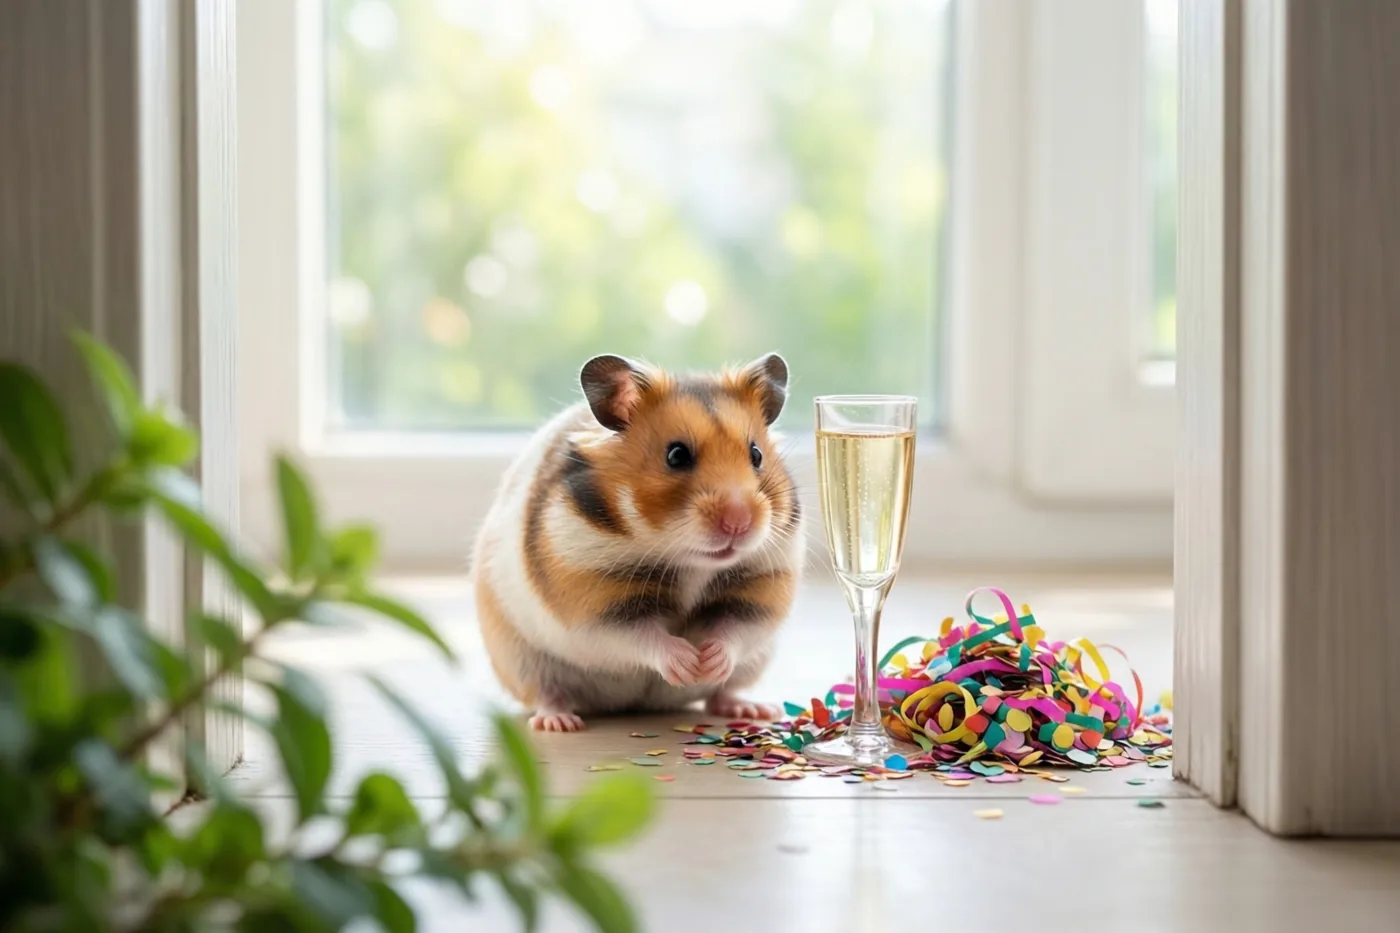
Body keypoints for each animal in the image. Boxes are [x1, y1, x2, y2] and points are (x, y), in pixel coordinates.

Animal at [471, 352, 805, 732]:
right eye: (676, 456)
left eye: (757, 455)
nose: (739, 522)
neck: (691, 561)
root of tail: (630, 703)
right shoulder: (594, 599)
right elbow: (641, 636)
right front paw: (687, 662)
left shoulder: (761, 587)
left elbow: (735, 630)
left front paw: (708, 660)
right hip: (521, 660)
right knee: (547, 693)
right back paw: (559, 722)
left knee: (722, 692)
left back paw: (752, 709)